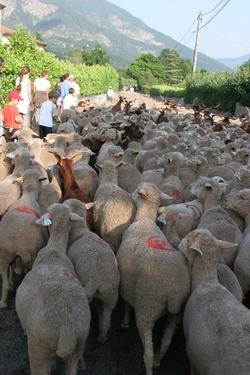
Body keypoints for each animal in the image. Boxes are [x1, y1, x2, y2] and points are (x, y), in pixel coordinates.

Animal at [0, 170, 47, 308]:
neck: (28, 195)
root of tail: (19, 244)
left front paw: (11, 285)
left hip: (4, 255)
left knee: (4, 283)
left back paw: (3, 303)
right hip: (33, 253)